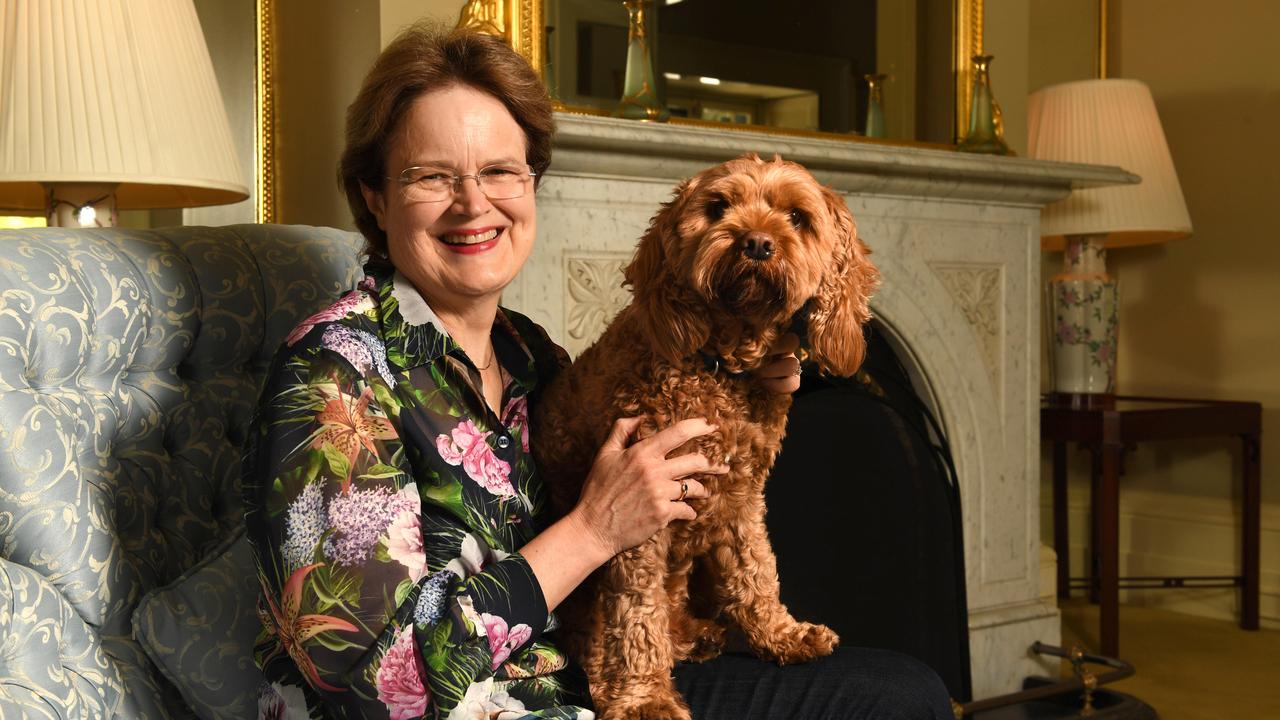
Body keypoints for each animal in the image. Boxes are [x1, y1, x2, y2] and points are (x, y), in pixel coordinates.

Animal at [529, 154, 880, 712]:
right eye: (718, 208)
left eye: (797, 217)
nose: (756, 243)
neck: (720, 367)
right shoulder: (644, 515)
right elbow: (637, 611)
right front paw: (644, 697)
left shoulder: (741, 496)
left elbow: (755, 570)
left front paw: (780, 634)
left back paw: (691, 634)